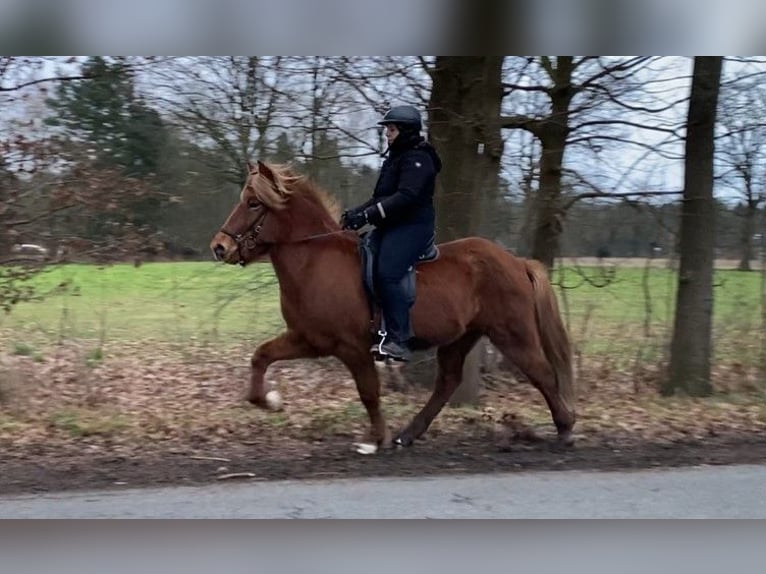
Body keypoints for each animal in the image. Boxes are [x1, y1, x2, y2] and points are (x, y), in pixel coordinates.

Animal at [210, 160, 576, 452]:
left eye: (253, 203)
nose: (219, 247)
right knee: (447, 382)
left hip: (512, 333)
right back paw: (409, 434)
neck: (314, 260)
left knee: (542, 372)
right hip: (461, 337)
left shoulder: (352, 347)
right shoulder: (308, 340)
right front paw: (270, 402)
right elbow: (261, 356)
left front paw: (376, 439)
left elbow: (369, 392)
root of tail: (516, 262)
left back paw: (565, 428)